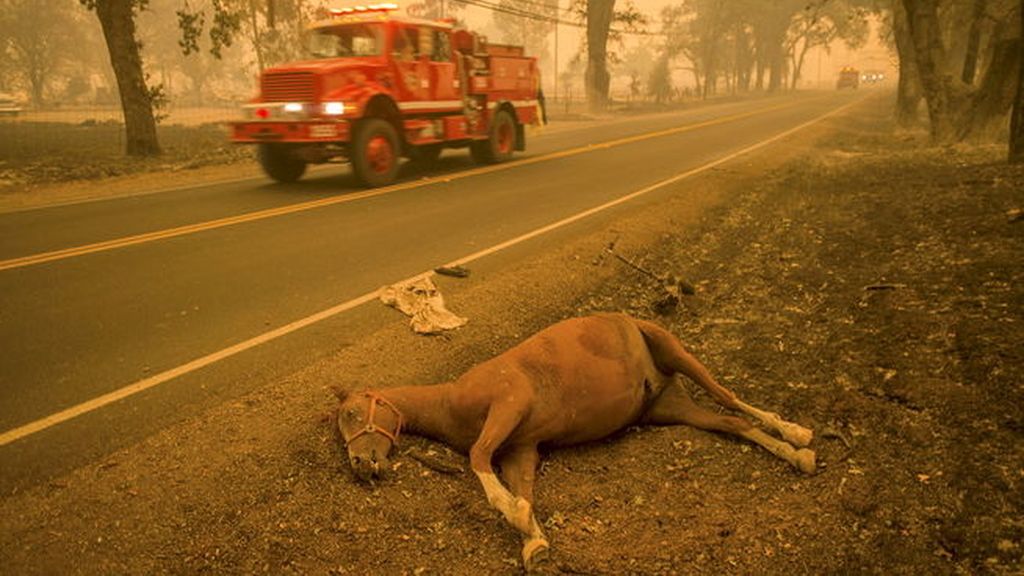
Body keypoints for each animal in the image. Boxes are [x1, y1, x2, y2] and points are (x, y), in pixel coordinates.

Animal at [333, 313, 815, 569]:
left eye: (353, 413)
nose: (360, 466)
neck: (452, 399)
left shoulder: (509, 403)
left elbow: (477, 458)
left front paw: (513, 513)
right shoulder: (520, 450)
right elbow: (522, 490)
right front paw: (532, 538)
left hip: (675, 352)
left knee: (730, 398)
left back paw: (798, 434)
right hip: (672, 408)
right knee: (731, 423)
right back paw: (797, 456)